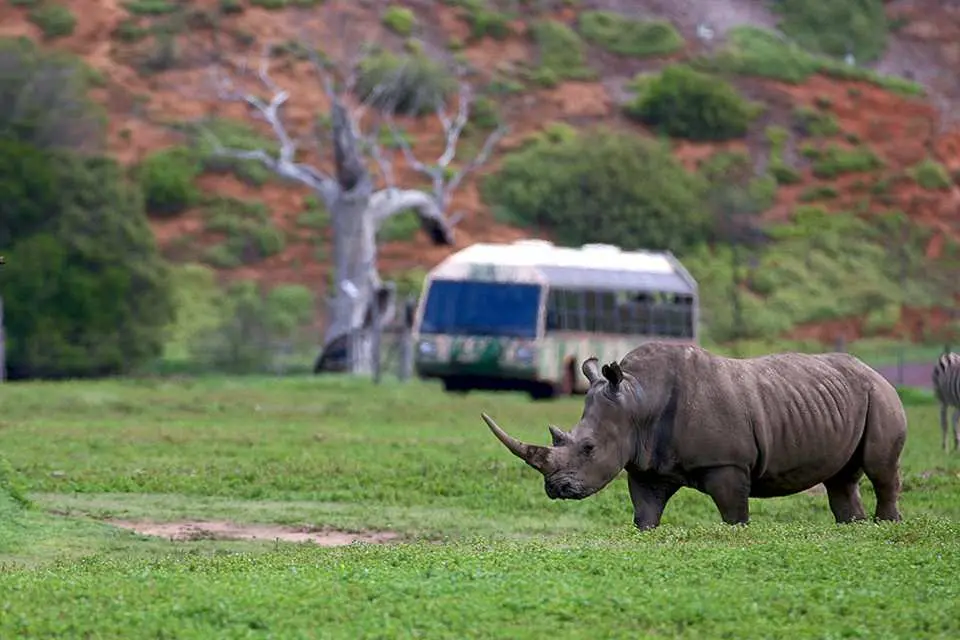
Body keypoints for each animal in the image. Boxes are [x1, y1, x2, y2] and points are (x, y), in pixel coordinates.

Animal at [482, 342, 907, 530]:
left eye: (589, 448)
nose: (556, 489)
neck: (638, 399)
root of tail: (874, 370)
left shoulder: (727, 464)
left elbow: (733, 512)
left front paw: (738, 533)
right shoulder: (645, 463)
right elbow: (645, 510)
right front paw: (646, 531)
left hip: (881, 395)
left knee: (881, 468)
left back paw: (886, 526)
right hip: (843, 398)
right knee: (842, 478)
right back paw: (852, 527)